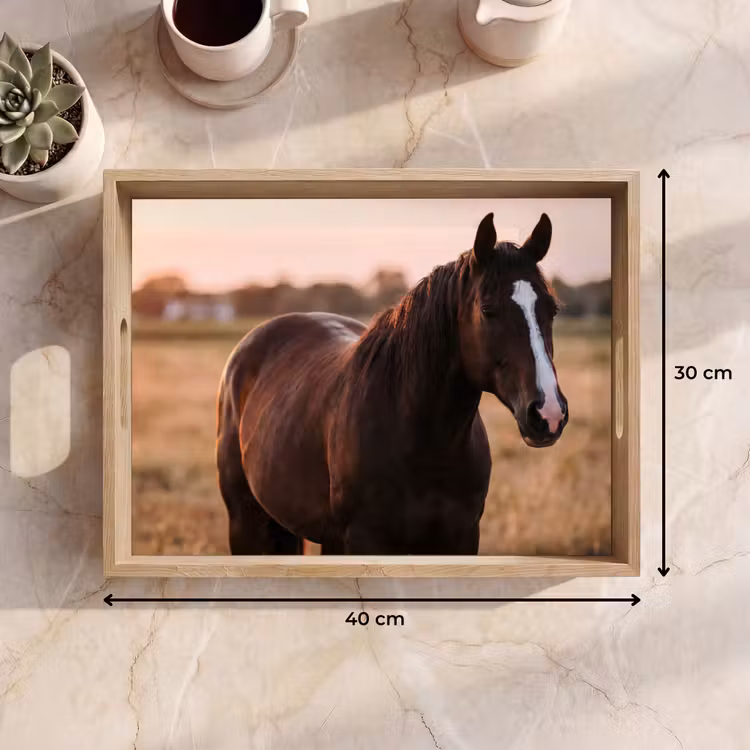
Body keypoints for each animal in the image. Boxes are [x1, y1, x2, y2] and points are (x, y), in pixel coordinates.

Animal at [216, 212, 568, 555]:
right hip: (246, 523)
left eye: (552, 309)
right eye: (487, 310)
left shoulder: (461, 539)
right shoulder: (362, 541)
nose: (548, 413)